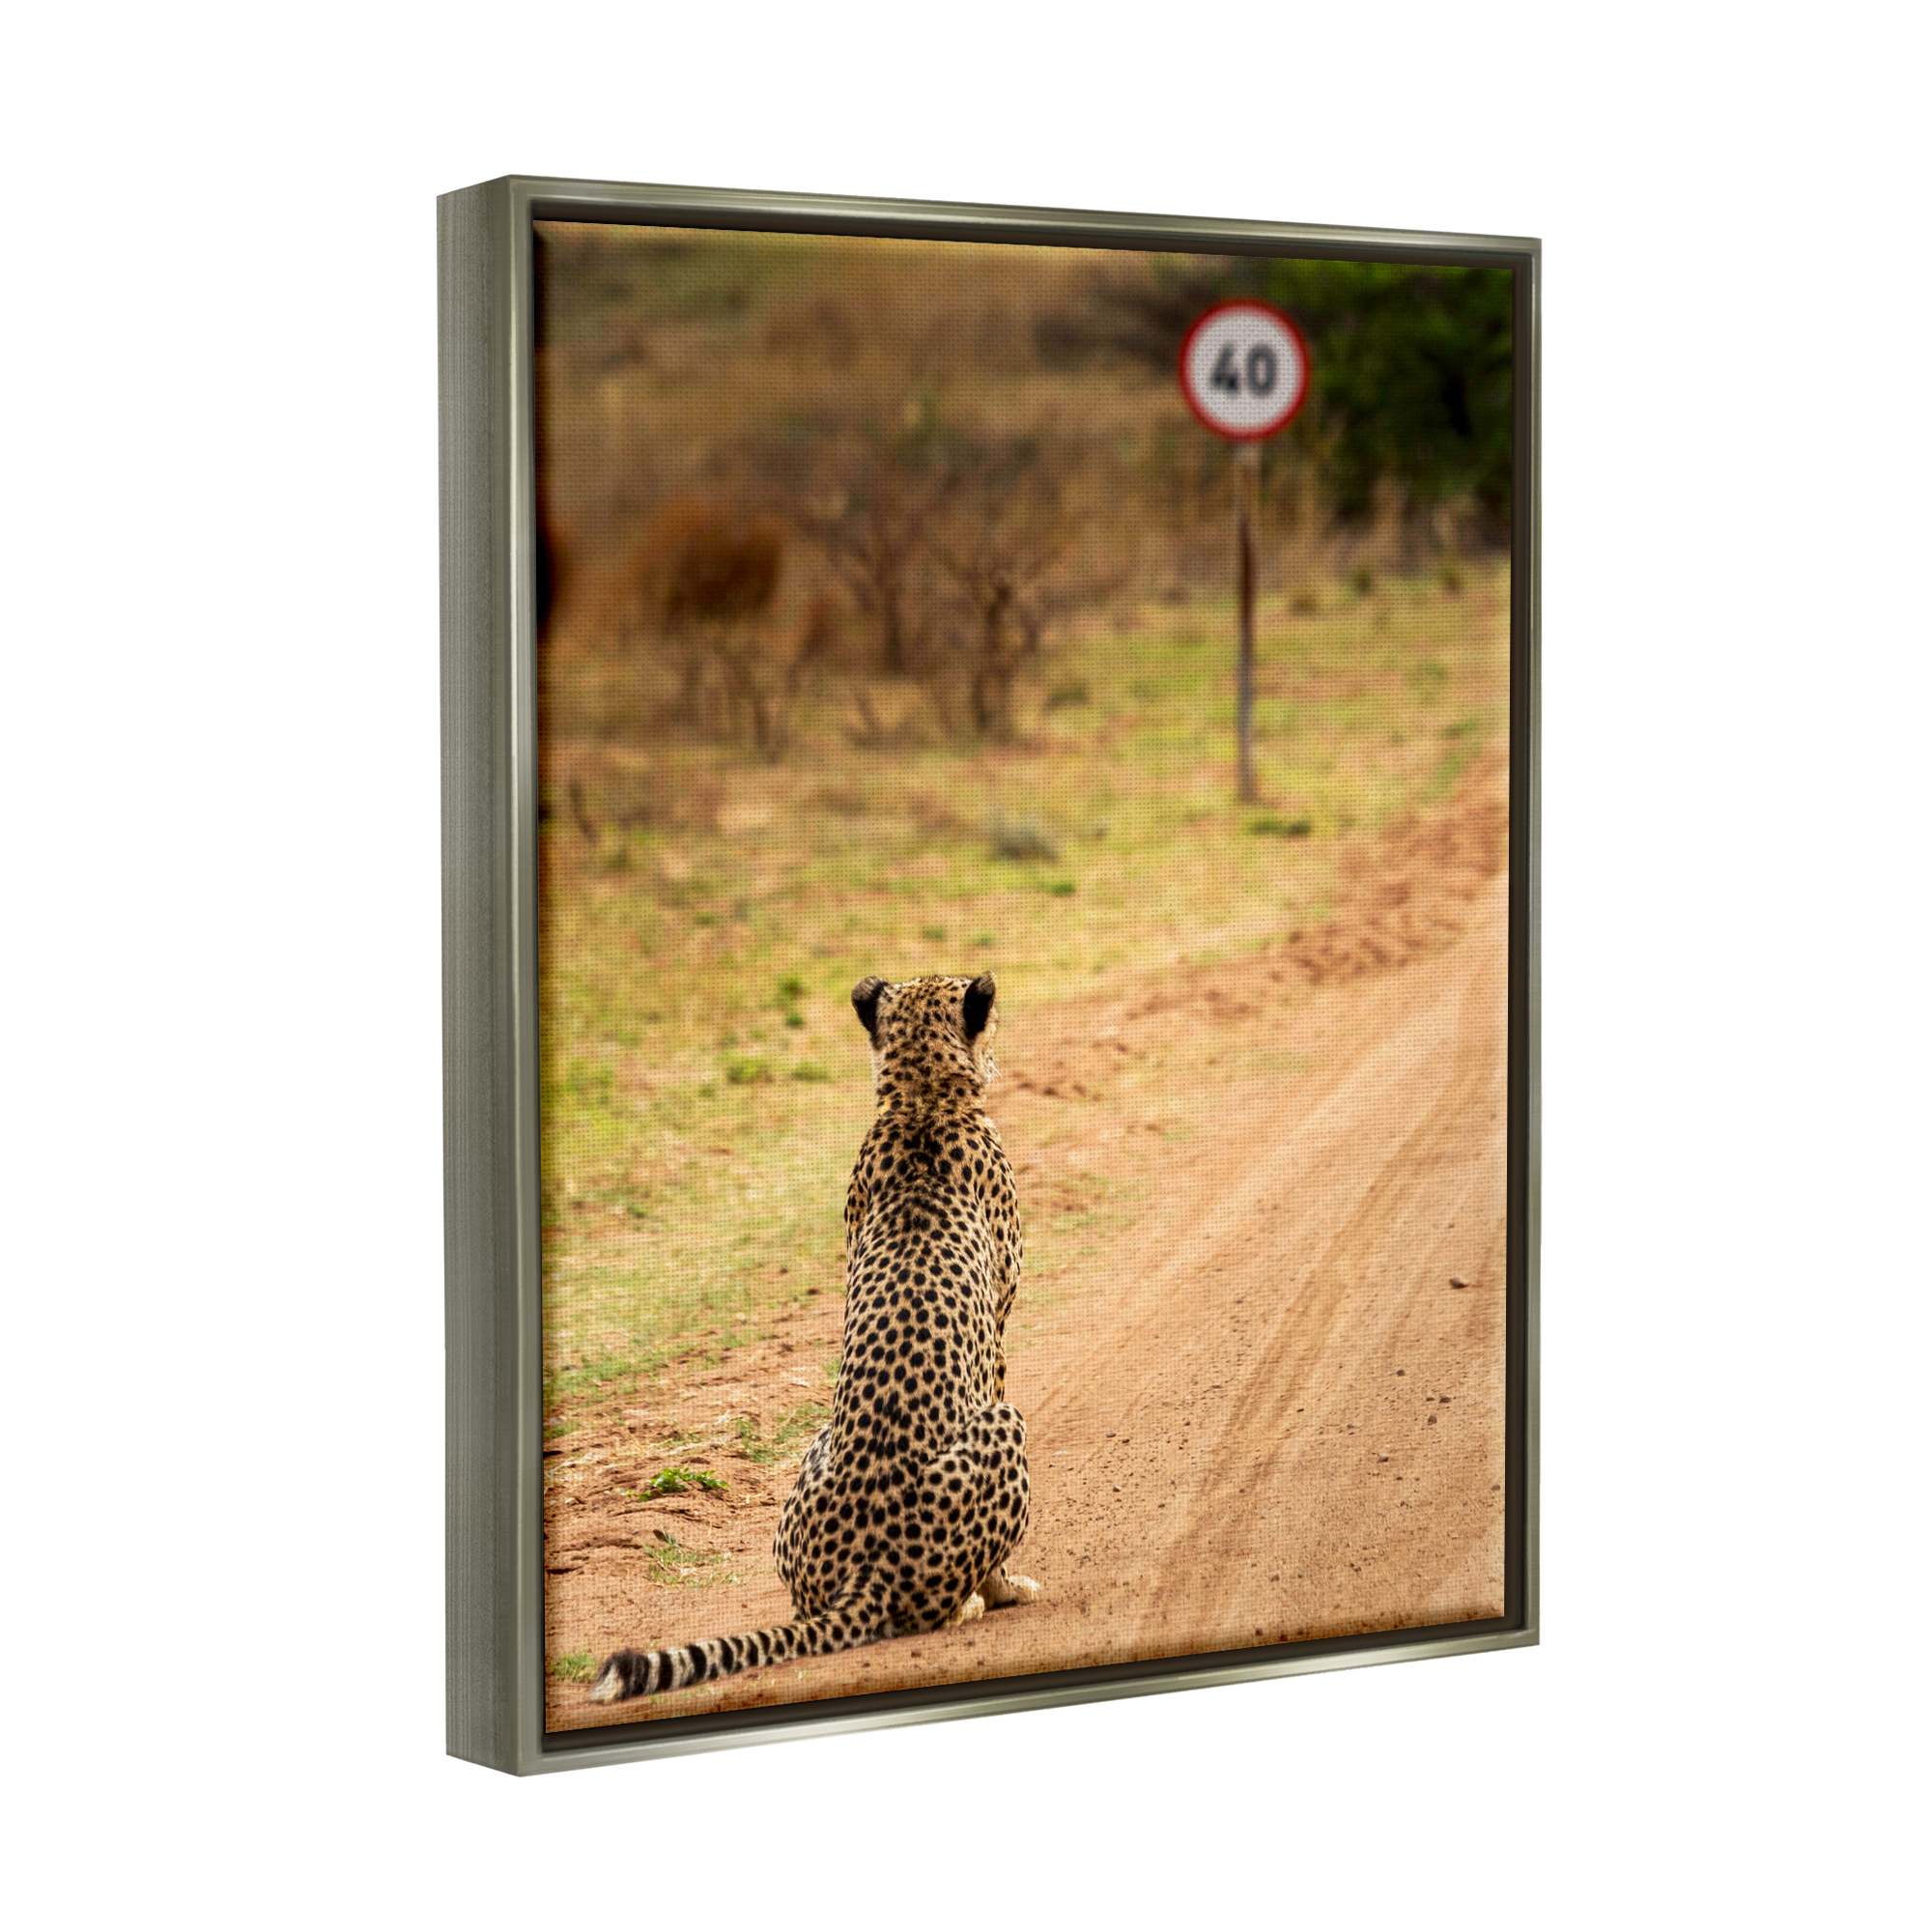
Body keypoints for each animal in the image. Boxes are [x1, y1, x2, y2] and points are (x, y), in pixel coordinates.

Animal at [589, 970, 1041, 1705]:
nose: (1001, 1051)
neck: (921, 1099)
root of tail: (865, 1574)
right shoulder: (998, 1336)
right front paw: (1008, 1588)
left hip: (814, 1453)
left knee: (803, 1607)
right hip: (1005, 1423)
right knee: (933, 1611)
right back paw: (973, 1602)